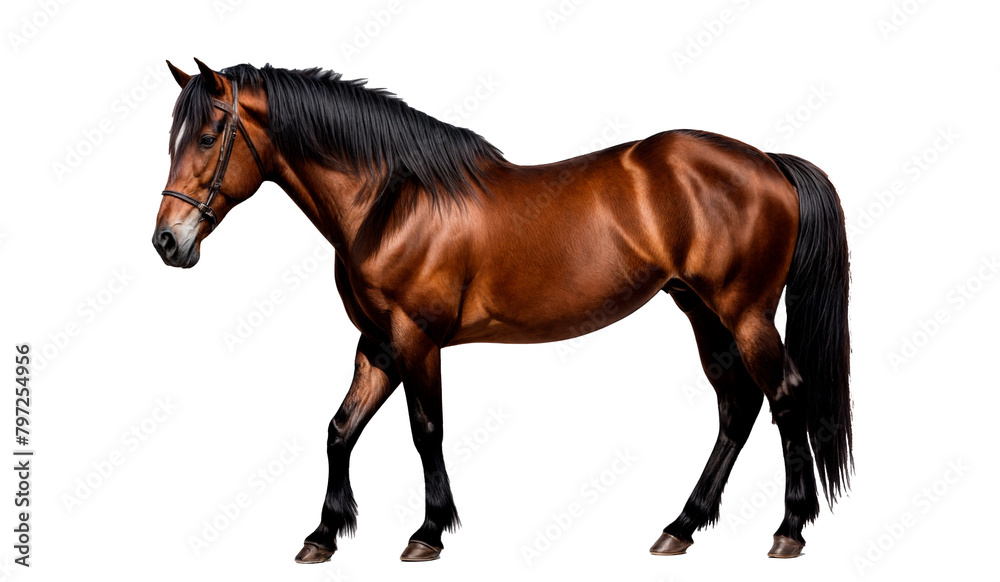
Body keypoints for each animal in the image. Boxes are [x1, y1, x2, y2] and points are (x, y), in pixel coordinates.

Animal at [152, 59, 852, 563]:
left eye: (209, 136)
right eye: (172, 140)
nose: (167, 242)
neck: (393, 203)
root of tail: (768, 163)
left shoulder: (417, 338)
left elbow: (425, 430)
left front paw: (428, 532)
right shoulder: (376, 341)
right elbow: (340, 428)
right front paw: (323, 535)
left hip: (745, 313)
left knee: (786, 399)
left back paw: (789, 530)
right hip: (702, 310)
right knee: (737, 407)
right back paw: (680, 526)